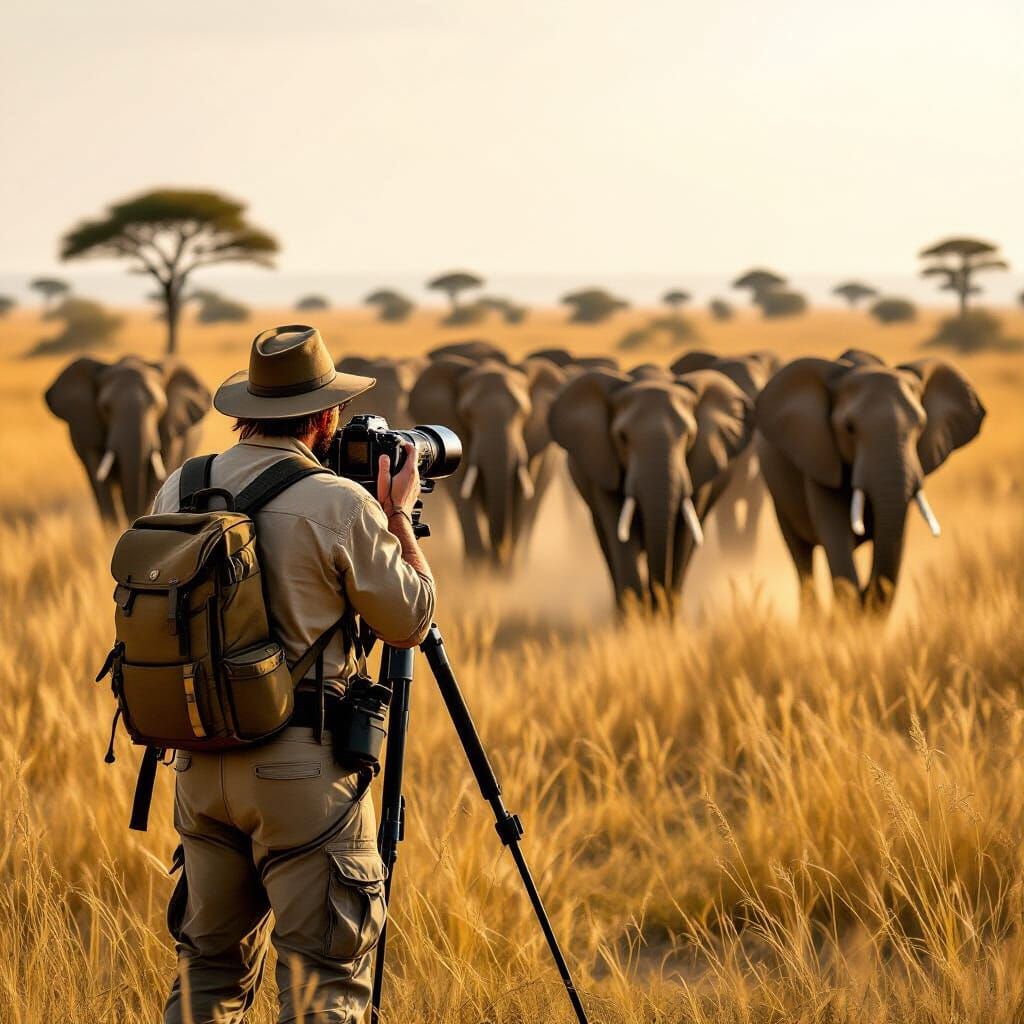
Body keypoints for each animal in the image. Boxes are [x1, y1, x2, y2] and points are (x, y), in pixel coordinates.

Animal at [408, 355, 566, 566]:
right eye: (467, 413)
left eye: (524, 413)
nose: (499, 557)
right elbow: (462, 492)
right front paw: (477, 571)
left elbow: (522, 495)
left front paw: (505, 573)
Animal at [548, 366, 754, 611]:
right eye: (622, 438)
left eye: (689, 436)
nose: (655, 603)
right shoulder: (603, 463)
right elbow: (620, 536)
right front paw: (634, 617)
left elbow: (682, 536)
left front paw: (665, 617)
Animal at [755, 353, 985, 613]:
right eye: (849, 428)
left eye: (921, 426)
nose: (865, 596)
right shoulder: (819, 456)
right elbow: (836, 538)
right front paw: (848, 616)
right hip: (778, 496)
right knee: (802, 559)